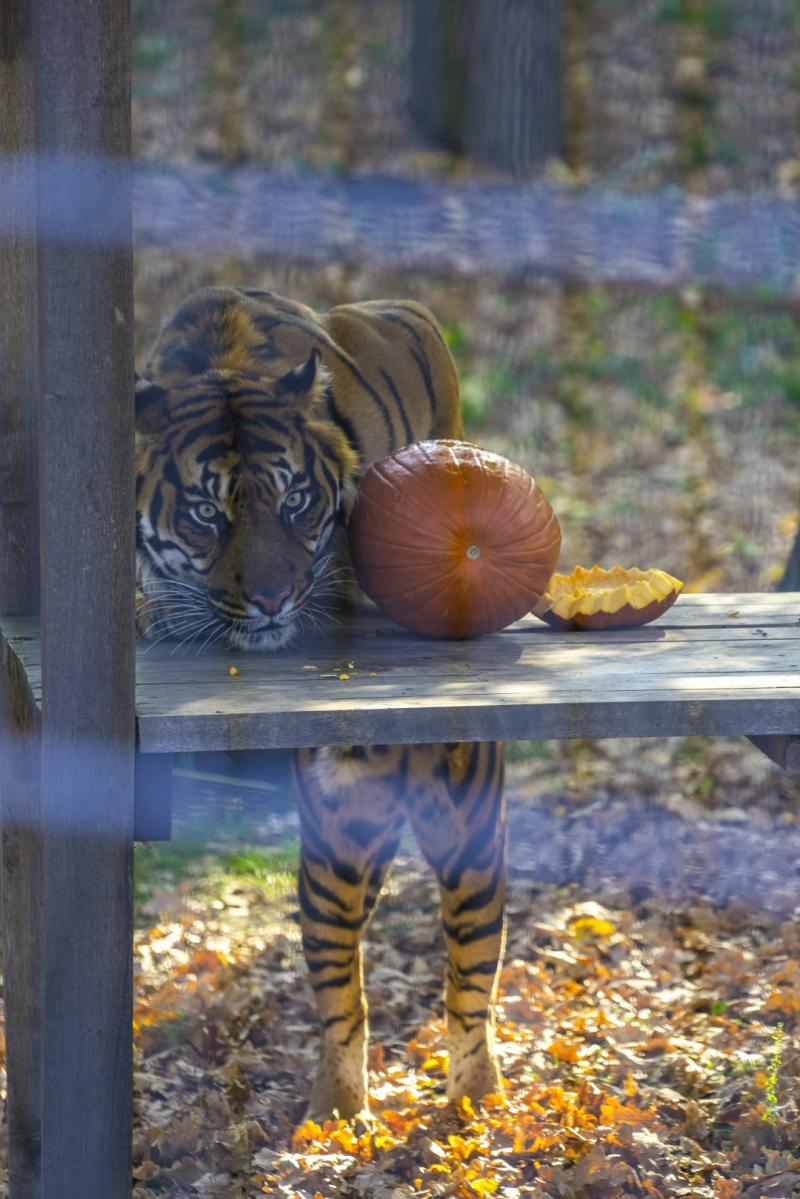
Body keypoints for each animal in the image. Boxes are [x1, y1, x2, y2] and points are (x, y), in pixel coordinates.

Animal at [133, 285, 503, 1117]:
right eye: (207, 513)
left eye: (296, 500)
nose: (272, 599)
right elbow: (336, 966)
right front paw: (336, 1104)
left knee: (471, 956)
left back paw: (474, 1092)